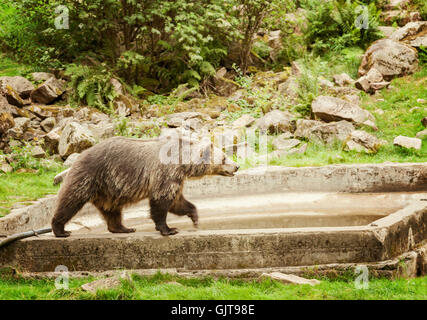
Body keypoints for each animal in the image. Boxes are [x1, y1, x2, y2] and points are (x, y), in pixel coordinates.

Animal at [51, 135, 239, 238]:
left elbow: (177, 202)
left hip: (108, 189)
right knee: (70, 200)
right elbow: (161, 201)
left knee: (112, 210)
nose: (236, 166)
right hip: (90, 176)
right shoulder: (165, 173)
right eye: (224, 158)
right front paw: (169, 229)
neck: (182, 163)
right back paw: (60, 230)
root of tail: (79, 156)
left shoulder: (177, 178)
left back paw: (123, 228)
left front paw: (194, 217)